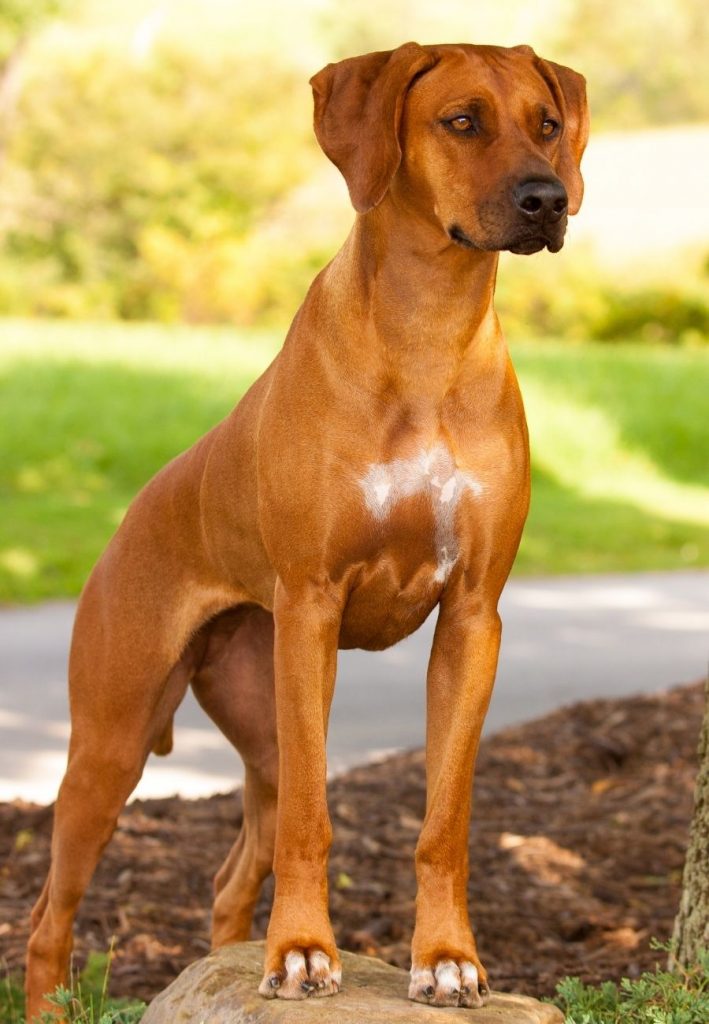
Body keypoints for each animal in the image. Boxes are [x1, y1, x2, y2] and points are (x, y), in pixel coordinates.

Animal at [26, 39, 586, 1015]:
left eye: (547, 124)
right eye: (462, 120)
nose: (547, 198)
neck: (427, 331)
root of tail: (136, 508)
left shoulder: (472, 617)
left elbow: (443, 820)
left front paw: (446, 959)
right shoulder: (311, 605)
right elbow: (313, 826)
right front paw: (300, 952)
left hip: (260, 721)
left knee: (229, 876)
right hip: (116, 736)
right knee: (47, 920)